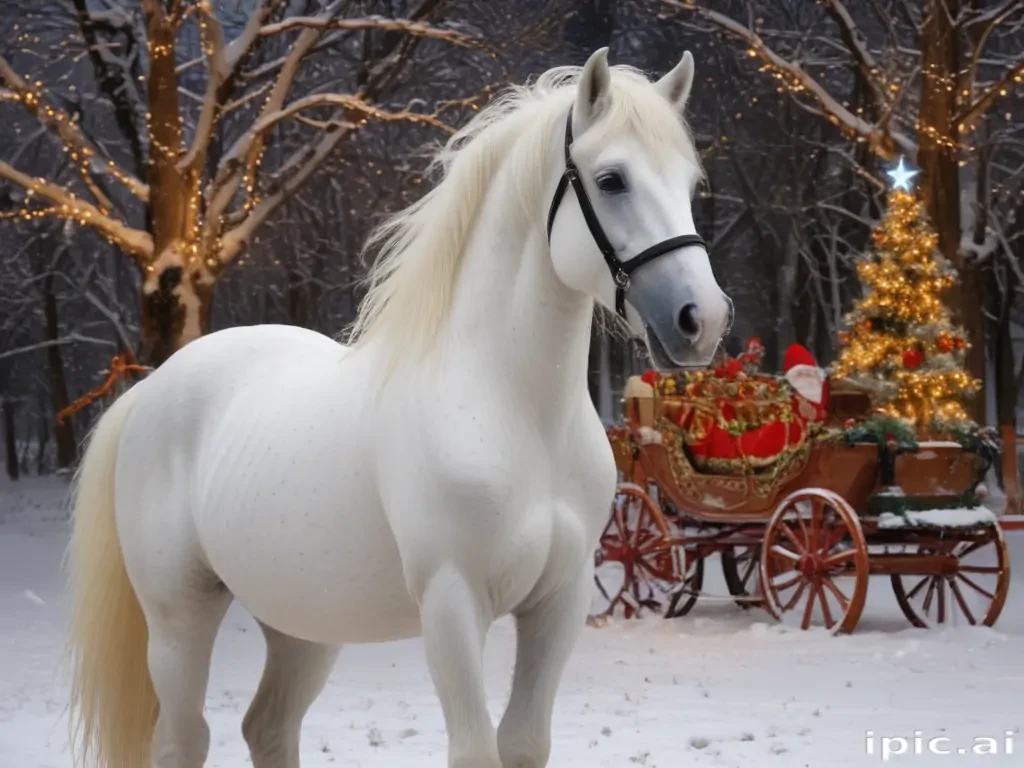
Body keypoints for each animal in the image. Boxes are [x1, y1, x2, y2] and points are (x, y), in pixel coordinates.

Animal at [66, 47, 732, 768]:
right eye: (611, 180)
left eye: (690, 184)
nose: (702, 320)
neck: (517, 413)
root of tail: (152, 391)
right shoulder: (452, 603)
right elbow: (475, 749)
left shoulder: (559, 603)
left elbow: (523, 743)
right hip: (178, 618)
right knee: (184, 739)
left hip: (303, 621)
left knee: (268, 725)